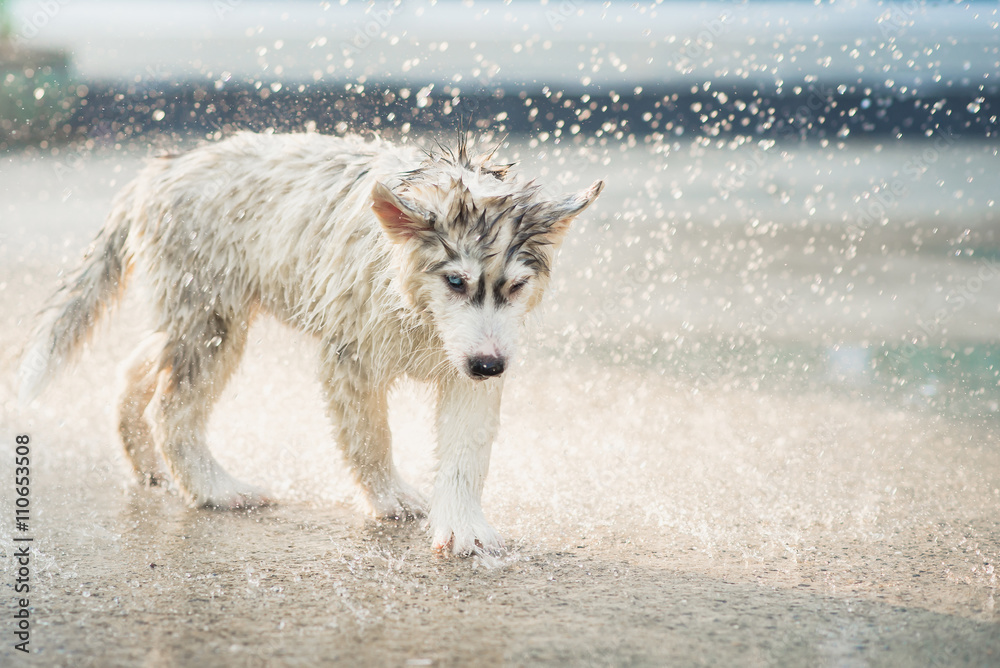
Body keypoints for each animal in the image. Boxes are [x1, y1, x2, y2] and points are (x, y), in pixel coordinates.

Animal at [19, 130, 604, 552]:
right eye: (455, 282)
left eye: (517, 286)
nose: (489, 367)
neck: (413, 305)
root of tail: (163, 168)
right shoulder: (350, 356)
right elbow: (370, 438)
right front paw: (392, 499)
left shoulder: (472, 361)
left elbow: (467, 454)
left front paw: (464, 528)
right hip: (212, 320)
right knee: (174, 408)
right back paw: (217, 490)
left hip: (194, 316)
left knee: (139, 362)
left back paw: (146, 463)